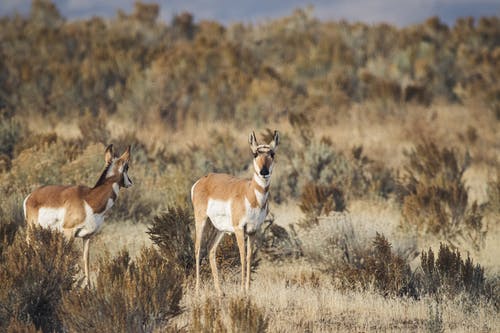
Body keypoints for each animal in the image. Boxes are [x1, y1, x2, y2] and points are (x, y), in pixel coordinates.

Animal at [23, 144, 133, 284]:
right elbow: (65, 256)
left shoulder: (87, 236)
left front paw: (88, 286)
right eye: (127, 167)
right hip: (32, 231)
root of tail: (30, 196)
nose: (130, 182)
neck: (89, 200)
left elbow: (86, 259)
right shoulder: (68, 232)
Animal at [191, 130, 280, 294]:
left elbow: (249, 257)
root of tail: (203, 180)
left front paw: (248, 290)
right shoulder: (239, 229)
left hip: (219, 229)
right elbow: (242, 255)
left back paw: (220, 292)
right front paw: (242, 290)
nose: (264, 172)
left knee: (211, 249)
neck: (250, 194)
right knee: (198, 249)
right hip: (201, 220)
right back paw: (198, 291)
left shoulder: (253, 231)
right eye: (255, 154)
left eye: (272, 153)